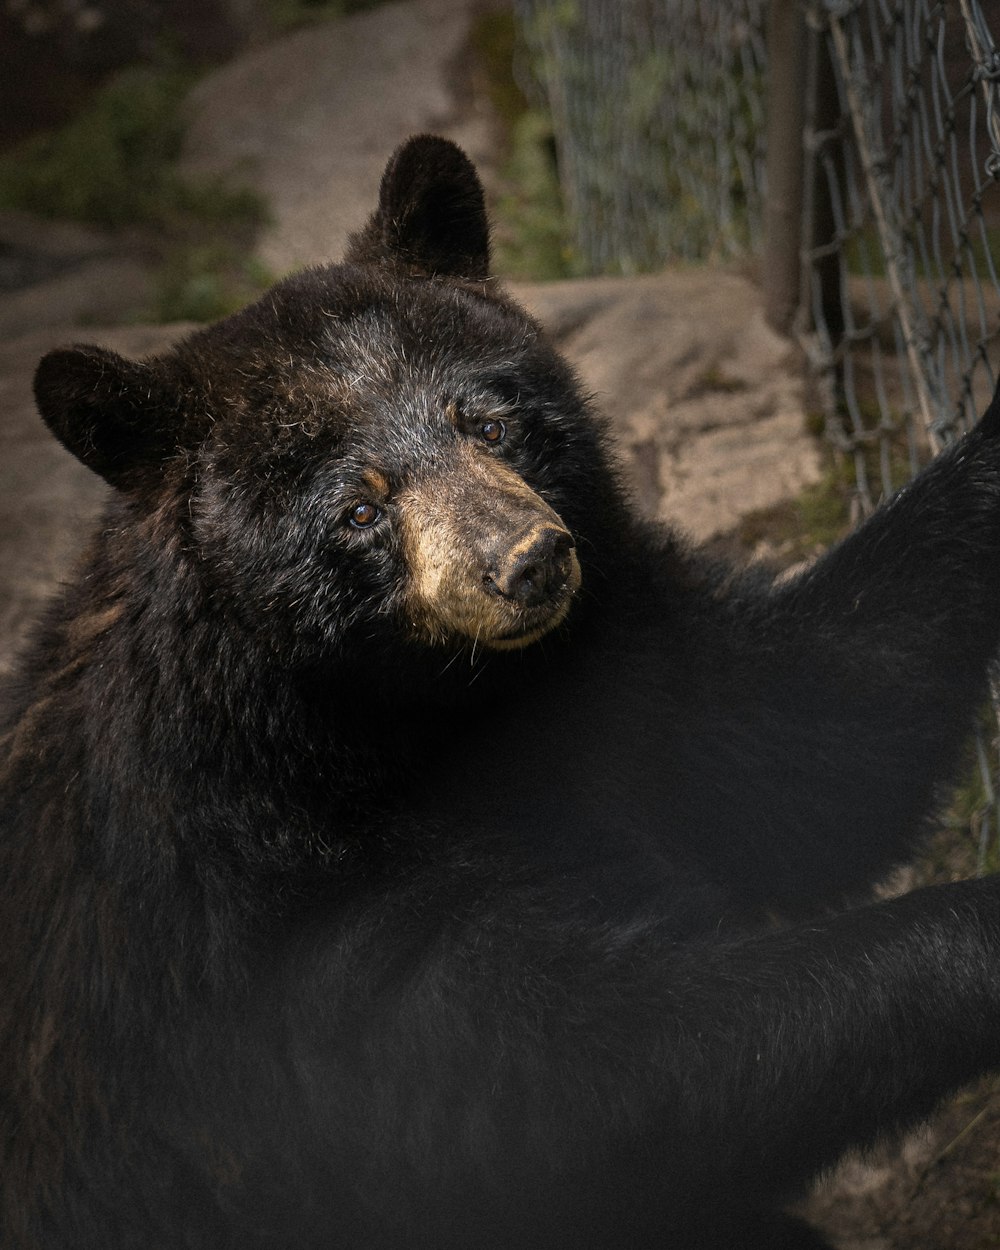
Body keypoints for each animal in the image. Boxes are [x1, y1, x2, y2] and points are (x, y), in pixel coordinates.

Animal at [3, 131, 1000, 1245]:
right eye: (358, 509)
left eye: (488, 422)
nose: (527, 561)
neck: (433, 709)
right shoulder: (279, 906)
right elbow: (565, 1082)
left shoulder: (615, 667)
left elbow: (804, 737)